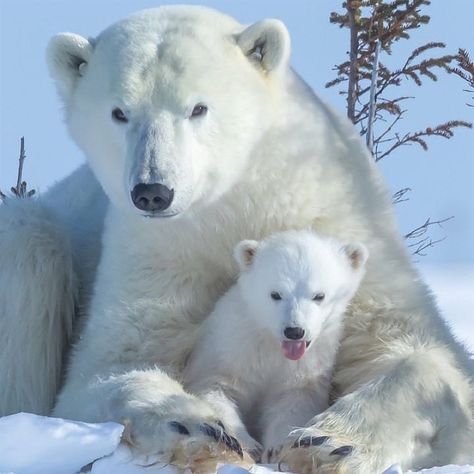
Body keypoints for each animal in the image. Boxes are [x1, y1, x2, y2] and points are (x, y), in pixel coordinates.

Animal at [0, 4, 472, 474]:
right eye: (119, 112)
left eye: (198, 108)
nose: (153, 191)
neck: (236, 201)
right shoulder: (156, 250)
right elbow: (113, 365)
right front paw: (196, 426)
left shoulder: (338, 221)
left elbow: (414, 348)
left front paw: (329, 441)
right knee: (28, 244)